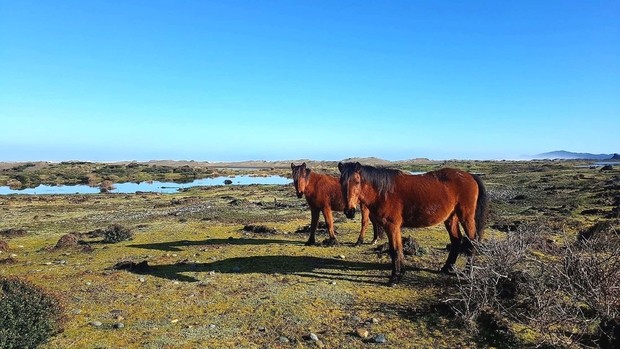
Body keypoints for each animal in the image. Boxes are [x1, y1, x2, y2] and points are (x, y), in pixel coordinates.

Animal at [340, 162, 490, 284]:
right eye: (341, 182)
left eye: (357, 181)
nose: (349, 211)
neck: (383, 192)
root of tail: (470, 176)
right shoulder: (394, 228)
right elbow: (398, 249)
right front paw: (400, 273)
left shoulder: (391, 226)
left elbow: (395, 250)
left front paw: (395, 277)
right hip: (451, 218)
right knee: (456, 240)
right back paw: (447, 268)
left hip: (466, 217)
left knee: (472, 241)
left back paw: (467, 273)